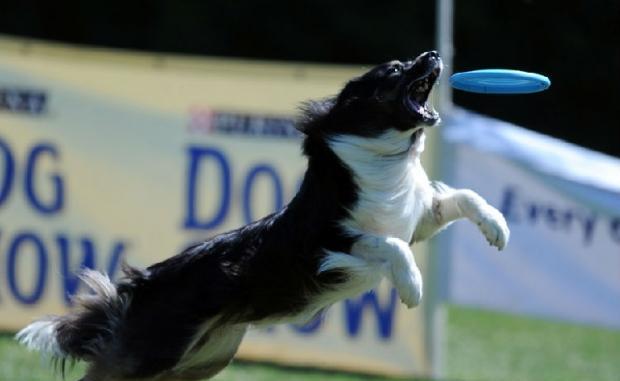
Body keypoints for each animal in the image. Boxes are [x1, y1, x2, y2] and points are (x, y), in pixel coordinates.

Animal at [15, 51, 508, 380]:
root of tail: (140, 283)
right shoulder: (324, 246)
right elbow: (388, 245)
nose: (432, 54)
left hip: (203, 359)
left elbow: (465, 197)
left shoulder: (418, 219)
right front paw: (412, 287)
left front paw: (498, 229)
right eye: (393, 70)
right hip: (154, 352)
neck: (385, 164)